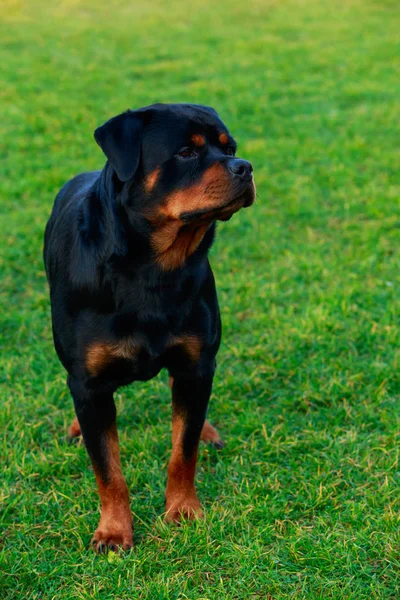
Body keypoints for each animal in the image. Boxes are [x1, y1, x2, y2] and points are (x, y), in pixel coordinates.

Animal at [43, 101, 255, 552]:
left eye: (229, 148)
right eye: (187, 153)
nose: (244, 167)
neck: (152, 269)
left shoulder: (196, 364)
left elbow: (183, 450)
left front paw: (183, 509)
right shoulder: (89, 383)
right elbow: (108, 469)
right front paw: (114, 530)